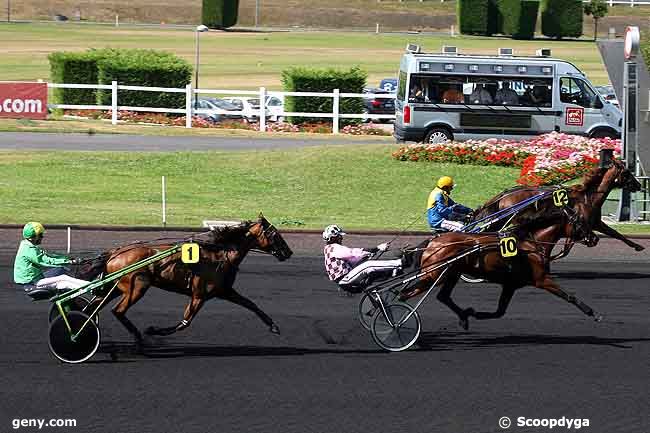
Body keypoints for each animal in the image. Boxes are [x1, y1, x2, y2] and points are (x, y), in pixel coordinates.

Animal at [80, 214, 292, 346]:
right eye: (275, 233)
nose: (288, 252)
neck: (219, 254)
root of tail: (115, 252)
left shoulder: (225, 291)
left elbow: (251, 304)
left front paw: (273, 326)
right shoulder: (199, 295)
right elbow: (185, 322)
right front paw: (153, 330)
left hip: (115, 287)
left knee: (93, 308)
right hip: (137, 286)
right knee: (118, 311)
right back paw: (139, 339)